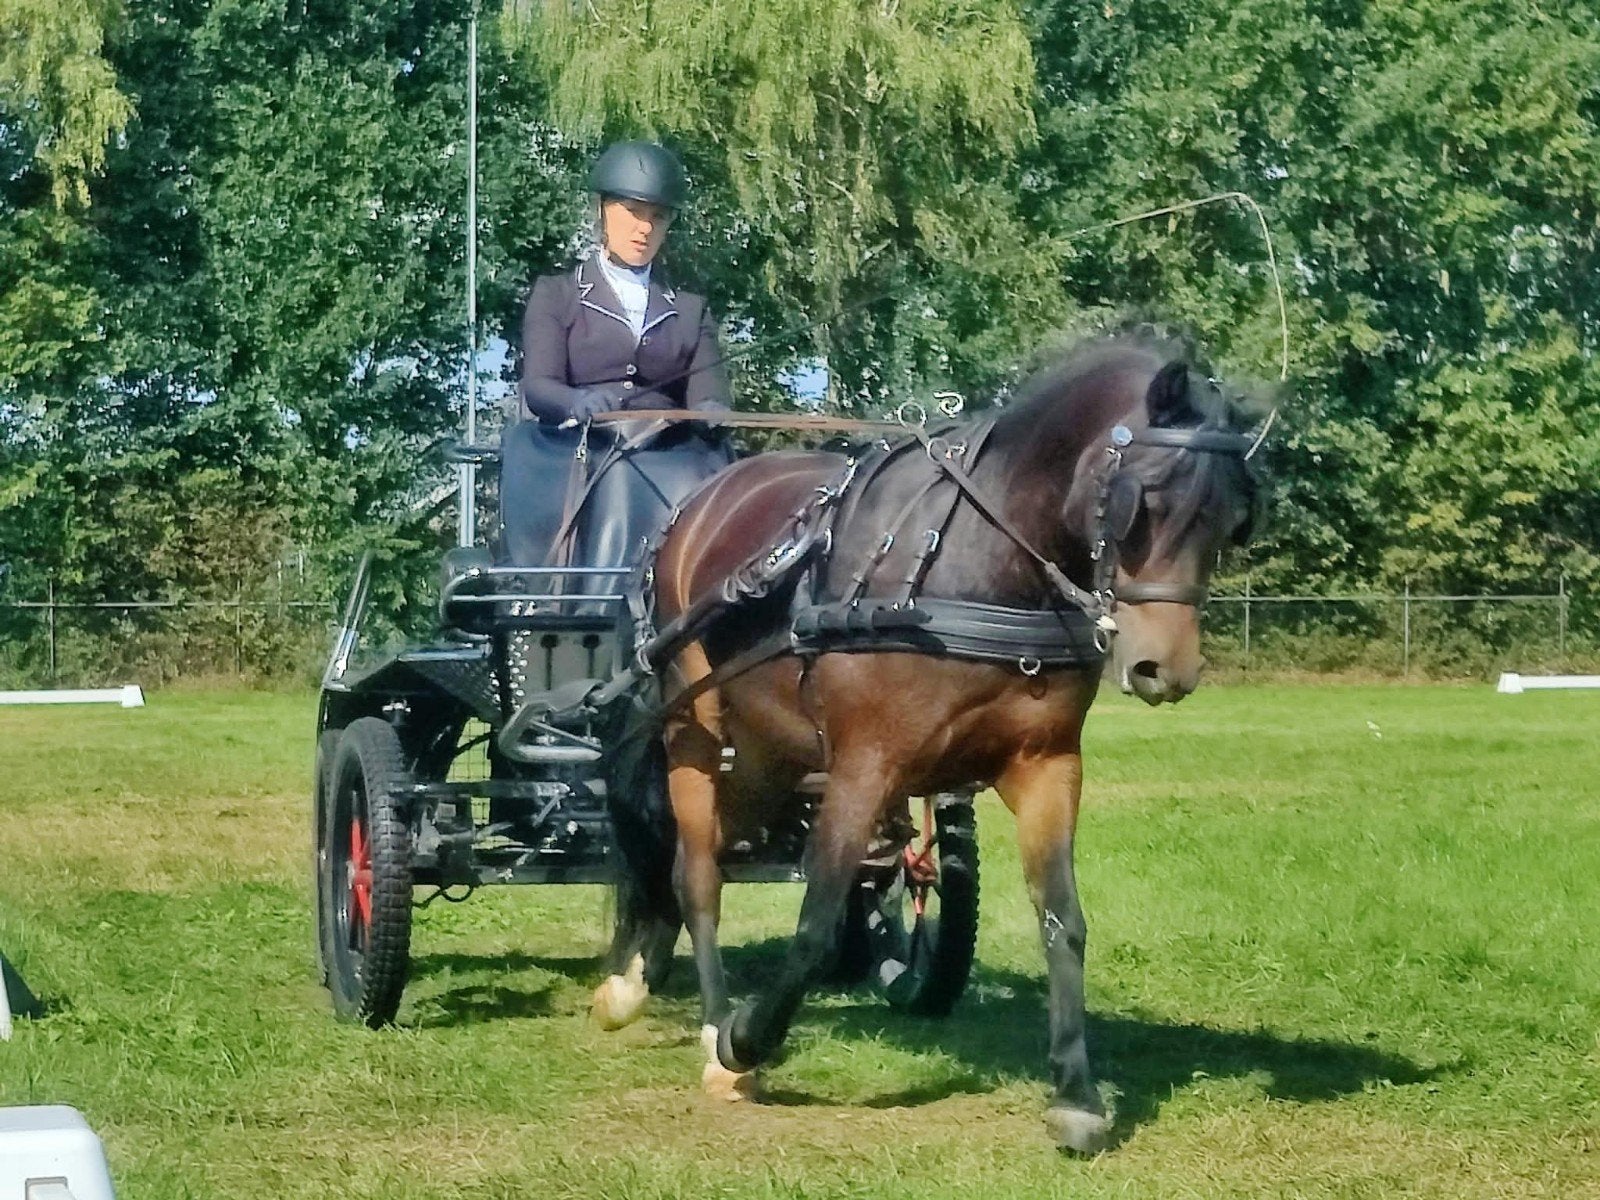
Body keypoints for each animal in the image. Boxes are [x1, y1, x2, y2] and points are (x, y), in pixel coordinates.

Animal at [589, 337, 1264, 1152]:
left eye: (1233, 519)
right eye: (1147, 500)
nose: (1165, 669)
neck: (981, 565)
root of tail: (694, 511)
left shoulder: (1046, 765)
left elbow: (1061, 918)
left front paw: (1076, 1091)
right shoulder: (865, 763)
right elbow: (816, 921)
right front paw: (746, 1039)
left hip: (764, 754)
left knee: (696, 853)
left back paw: (641, 971)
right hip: (696, 727)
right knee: (696, 874)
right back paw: (712, 1025)